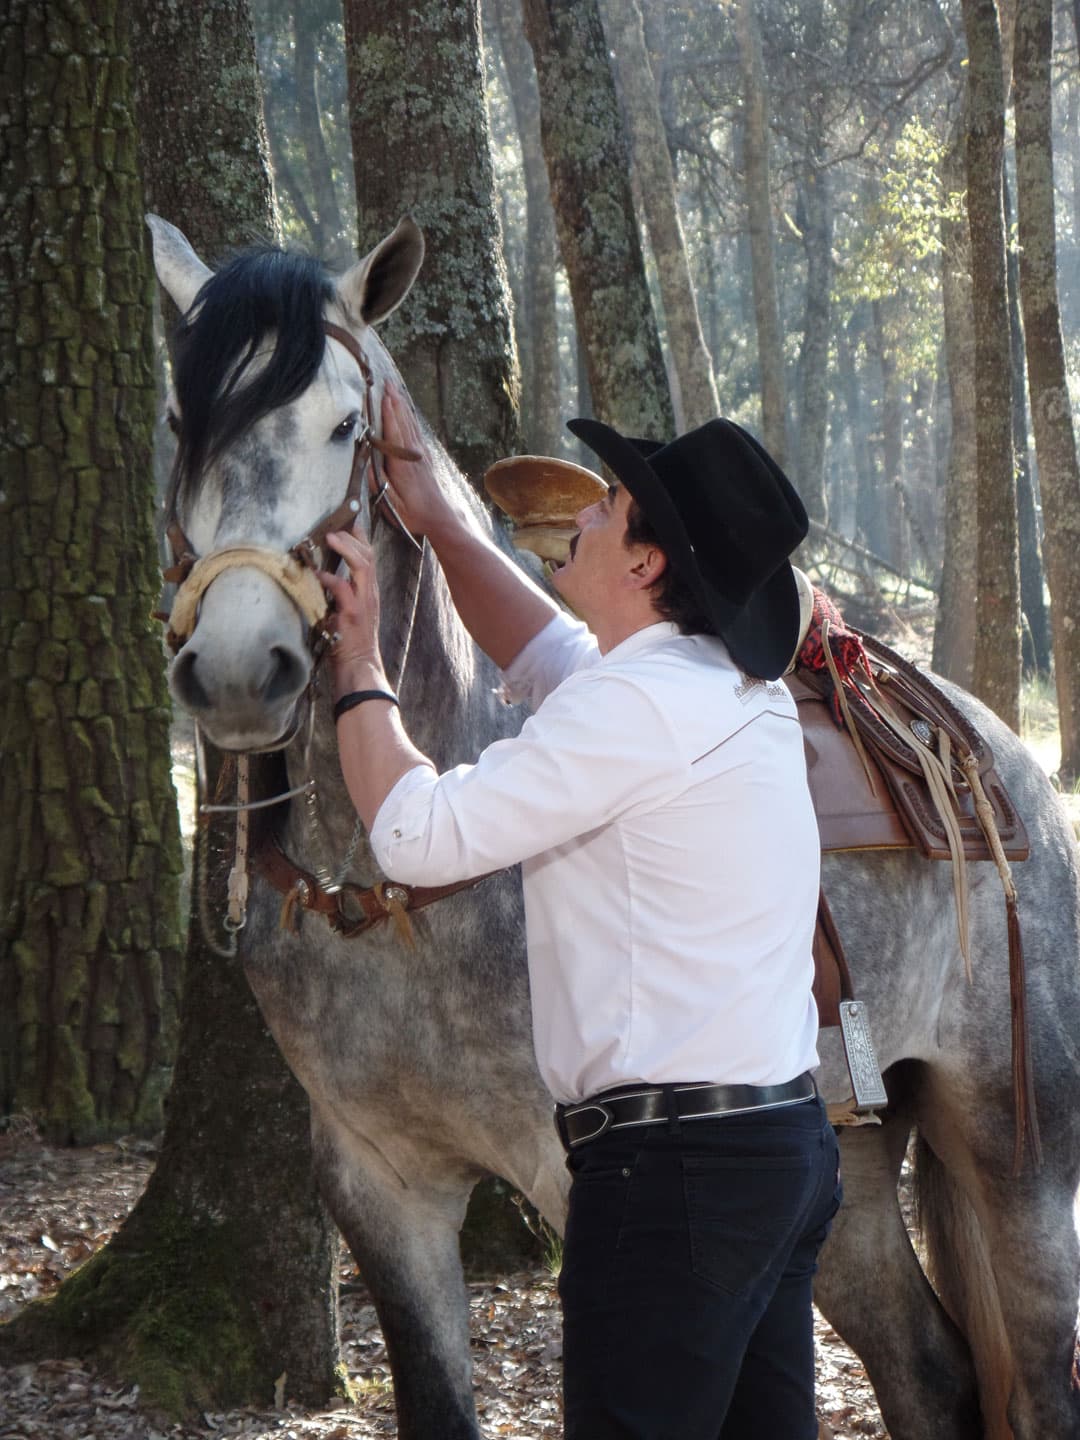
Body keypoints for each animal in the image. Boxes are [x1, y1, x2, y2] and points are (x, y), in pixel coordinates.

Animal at [147, 213, 1080, 1440]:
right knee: (929, 1371)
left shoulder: (567, 1177)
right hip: (854, 1158)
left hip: (1022, 1158)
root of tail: (1001, 766)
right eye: (182, 423)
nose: (239, 669)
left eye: (344, 425)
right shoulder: (382, 1187)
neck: (395, 901)